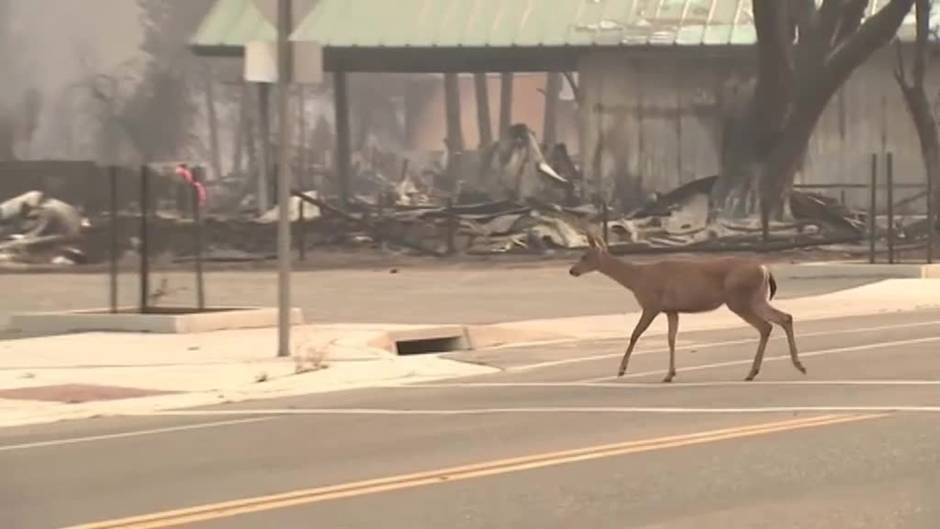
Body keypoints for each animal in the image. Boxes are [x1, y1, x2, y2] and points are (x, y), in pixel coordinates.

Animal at [568, 233, 804, 382]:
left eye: (585, 256)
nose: (572, 270)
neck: (637, 279)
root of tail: (765, 269)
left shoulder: (651, 304)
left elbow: (635, 334)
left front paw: (621, 370)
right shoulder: (672, 309)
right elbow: (671, 338)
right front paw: (669, 374)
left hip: (739, 300)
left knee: (766, 326)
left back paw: (754, 371)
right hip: (756, 298)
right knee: (784, 317)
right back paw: (793, 365)